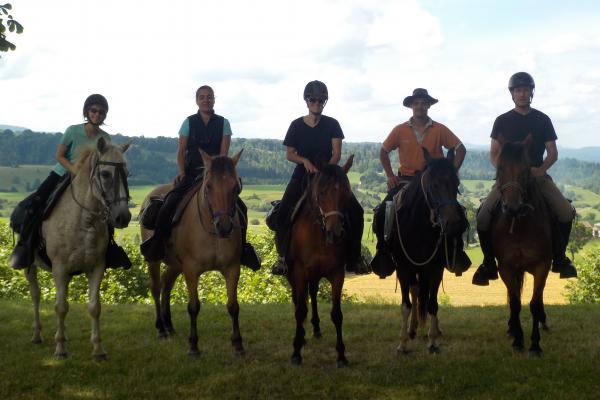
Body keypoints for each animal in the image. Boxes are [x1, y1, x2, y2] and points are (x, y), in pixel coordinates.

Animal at [25, 138, 131, 360]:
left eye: (128, 173)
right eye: (105, 174)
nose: (123, 217)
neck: (84, 221)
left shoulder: (96, 268)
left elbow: (94, 307)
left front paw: (98, 350)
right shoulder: (59, 269)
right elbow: (60, 307)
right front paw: (60, 349)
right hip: (30, 266)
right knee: (36, 295)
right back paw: (37, 335)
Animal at [139, 150, 245, 356]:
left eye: (236, 187)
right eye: (209, 186)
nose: (224, 226)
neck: (211, 232)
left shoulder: (232, 268)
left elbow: (233, 306)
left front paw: (237, 344)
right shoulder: (191, 270)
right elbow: (194, 306)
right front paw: (193, 345)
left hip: (175, 265)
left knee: (167, 284)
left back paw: (169, 325)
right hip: (154, 260)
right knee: (156, 288)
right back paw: (161, 329)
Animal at [284, 155, 354, 368]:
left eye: (346, 193)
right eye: (322, 192)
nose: (336, 233)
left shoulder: (338, 273)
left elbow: (336, 314)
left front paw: (341, 355)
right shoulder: (299, 271)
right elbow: (300, 310)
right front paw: (296, 351)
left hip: (315, 275)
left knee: (313, 293)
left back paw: (315, 329)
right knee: (298, 299)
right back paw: (303, 335)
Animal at [386, 149, 466, 354]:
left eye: (456, 184)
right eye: (434, 185)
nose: (453, 224)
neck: (418, 225)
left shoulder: (436, 268)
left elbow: (432, 304)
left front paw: (433, 341)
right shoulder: (403, 267)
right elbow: (406, 305)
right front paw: (402, 343)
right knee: (414, 291)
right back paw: (412, 328)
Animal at [492, 138, 552, 356]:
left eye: (526, 170)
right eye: (500, 167)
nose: (512, 207)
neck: (519, 226)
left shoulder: (542, 266)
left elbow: (533, 303)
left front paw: (534, 344)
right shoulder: (506, 268)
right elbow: (516, 303)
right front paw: (518, 340)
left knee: (538, 297)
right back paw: (512, 328)